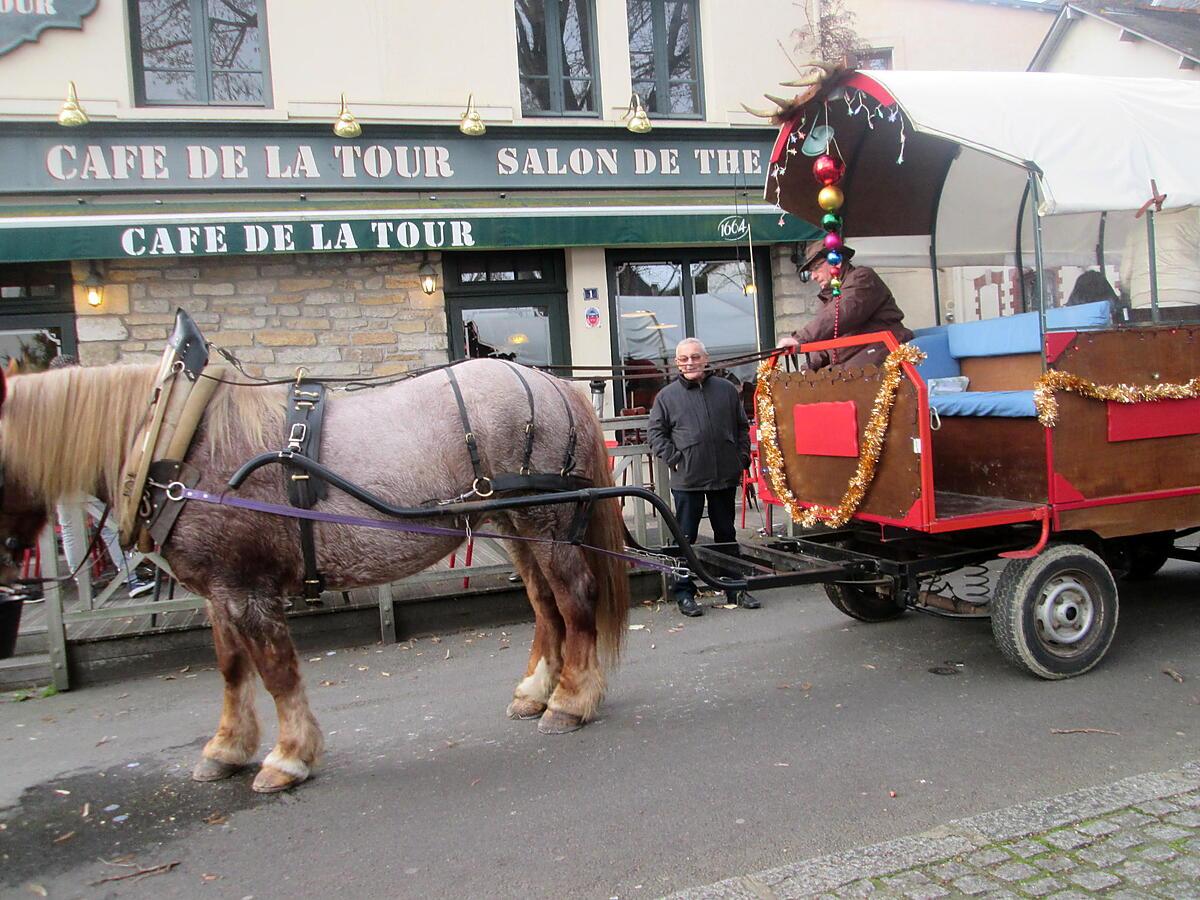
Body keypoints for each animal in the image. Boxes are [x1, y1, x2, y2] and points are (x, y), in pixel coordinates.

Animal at [0, 360, 633, 796]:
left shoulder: (247, 589)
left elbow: (277, 672)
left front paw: (288, 756)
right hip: (515, 524)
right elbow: (232, 669)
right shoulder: (220, 590)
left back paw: (570, 701)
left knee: (574, 601)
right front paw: (227, 747)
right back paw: (537, 690)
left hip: (549, 524)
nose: (12, 570)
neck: (177, 436)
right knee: (545, 606)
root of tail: (553, 383)